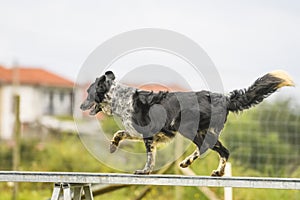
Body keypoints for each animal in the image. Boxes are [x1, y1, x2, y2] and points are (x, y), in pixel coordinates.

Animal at [79, 70, 292, 177]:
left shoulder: (147, 134)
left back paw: (188, 162)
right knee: (224, 151)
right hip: (201, 131)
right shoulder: (140, 132)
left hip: (190, 129)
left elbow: (149, 157)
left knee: (206, 147)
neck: (118, 97)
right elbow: (119, 133)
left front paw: (144, 171)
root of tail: (224, 98)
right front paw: (113, 147)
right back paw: (215, 171)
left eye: (88, 92)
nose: (80, 105)